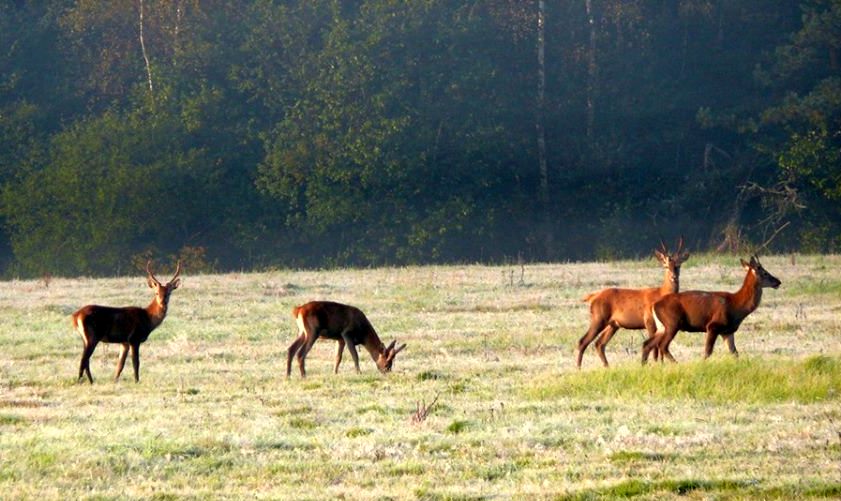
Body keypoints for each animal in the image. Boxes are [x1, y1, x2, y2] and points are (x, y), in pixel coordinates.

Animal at [576, 238, 688, 368]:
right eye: (665, 266)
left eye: (678, 265)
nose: (673, 277)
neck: (661, 292)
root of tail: (593, 297)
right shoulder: (649, 320)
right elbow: (654, 347)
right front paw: (655, 364)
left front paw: (660, 364)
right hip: (598, 318)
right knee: (583, 341)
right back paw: (578, 368)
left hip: (613, 324)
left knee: (599, 343)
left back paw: (607, 366)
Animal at [644, 256, 780, 362]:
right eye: (765, 273)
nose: (778, 281)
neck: (736, 306)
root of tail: (654, 305)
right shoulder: (713, 326)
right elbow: (707, 352)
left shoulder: (727, 331)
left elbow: (734, 353)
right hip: (672, 323)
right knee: (662, 346)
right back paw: (676, 364)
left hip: (662, 326)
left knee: (647, 344)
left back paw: (644, 364)